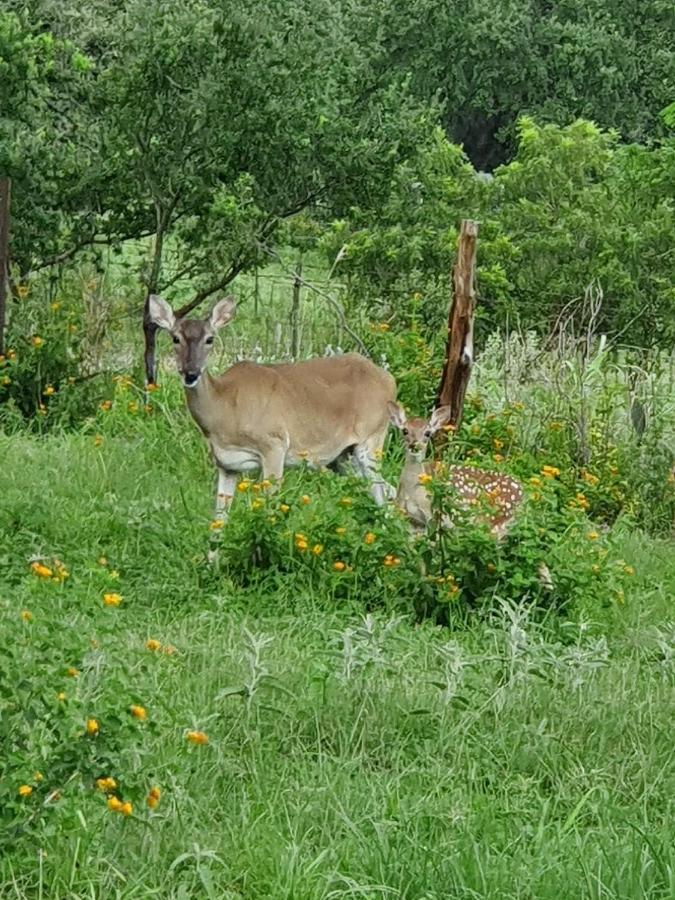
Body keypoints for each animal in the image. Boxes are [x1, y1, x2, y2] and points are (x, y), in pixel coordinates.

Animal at [149, 296, 396, 520]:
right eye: (175, 338)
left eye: (210, 339)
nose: (190, 373)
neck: (225, 408)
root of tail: (389, 380)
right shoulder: (226, 464)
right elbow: (218, 521)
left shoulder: (274, 444)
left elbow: (269, 511)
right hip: (343, 457)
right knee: (388, 489)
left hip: (371, 438)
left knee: (382, 492)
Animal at [388, 404, 524, 536]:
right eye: (405, 431)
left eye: (427, 433)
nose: (414, 445)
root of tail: (523, 494)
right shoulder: (406, 515)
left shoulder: (432, 514)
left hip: (491, 518)